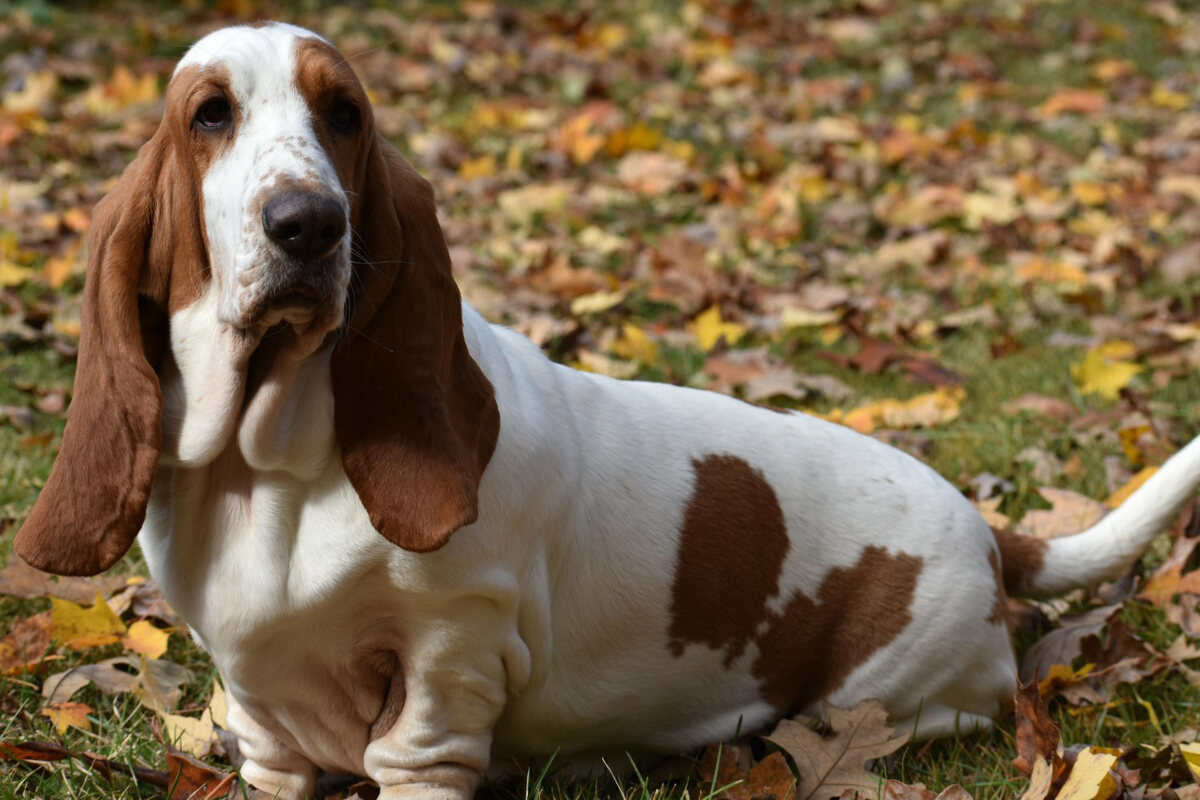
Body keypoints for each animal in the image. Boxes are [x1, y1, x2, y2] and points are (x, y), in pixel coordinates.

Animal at [16, 21, 1200, 796]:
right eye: (208, 115)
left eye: (343, 115)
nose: (308, 223)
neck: (270, 464)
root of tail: (987, 528)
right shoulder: (258, 706)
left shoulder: (447, 665)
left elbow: (418, 740)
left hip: (893, 691)